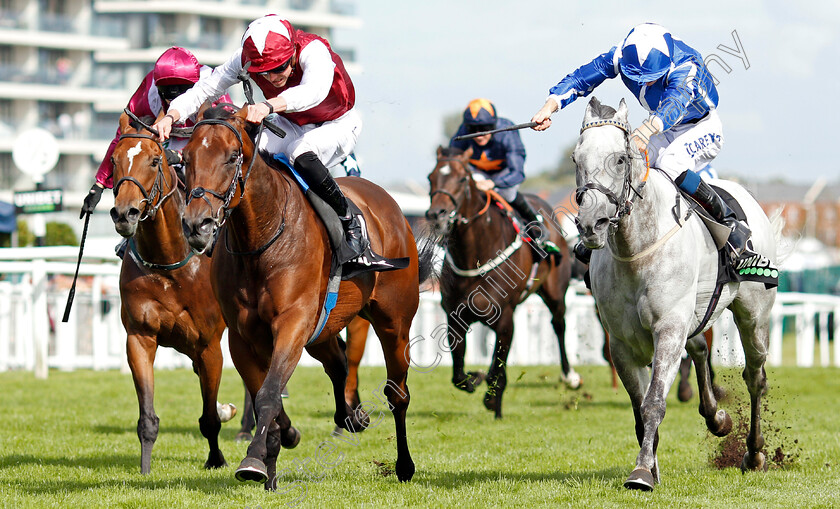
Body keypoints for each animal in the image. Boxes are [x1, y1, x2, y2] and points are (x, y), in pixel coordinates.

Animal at [110, 111, 233, 472]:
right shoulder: (140, 337)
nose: (124, 213)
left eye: (154, 160)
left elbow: (209, 419)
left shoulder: (209, 346)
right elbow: (147, 418)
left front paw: (216, 460)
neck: (168, 262)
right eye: (115, 160)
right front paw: (145, 469)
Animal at [183, 107, 434, 484]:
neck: (261, 237)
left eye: (231, 157)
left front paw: (254, 459)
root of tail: (390, 204)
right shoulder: (243, 336)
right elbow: (265, 393)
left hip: (394, 321)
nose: (196, 225)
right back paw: (351, 417)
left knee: (396, 393)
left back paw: (404, 464)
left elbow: (269, 393)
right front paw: (278, 443)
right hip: (322, 329)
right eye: (185, 158)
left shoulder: (293, 322)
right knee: (338, 363)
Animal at [426, 146, 576, 416]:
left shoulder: (505, 317)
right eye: (430, 177)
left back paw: (570, 376)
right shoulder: (454, 316)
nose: (436, 214)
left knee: (558, 324)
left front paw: (492, 398)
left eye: (462, 179)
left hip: (556, 292)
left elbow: (498, 364)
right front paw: (474, 378)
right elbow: (458, 374)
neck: (474, 256)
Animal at [576, 97, 776, 490]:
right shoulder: (622, 344)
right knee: (699, 348)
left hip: (753, 317)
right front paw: (651, 465)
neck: (637, 251)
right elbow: (640, 410)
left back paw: (754, 452)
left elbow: (653, 402)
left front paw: (641, 472)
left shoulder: (667, 329)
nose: (592, 224)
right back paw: (717, 418)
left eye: (619, 159)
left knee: (755, 378)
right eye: (577, 159)